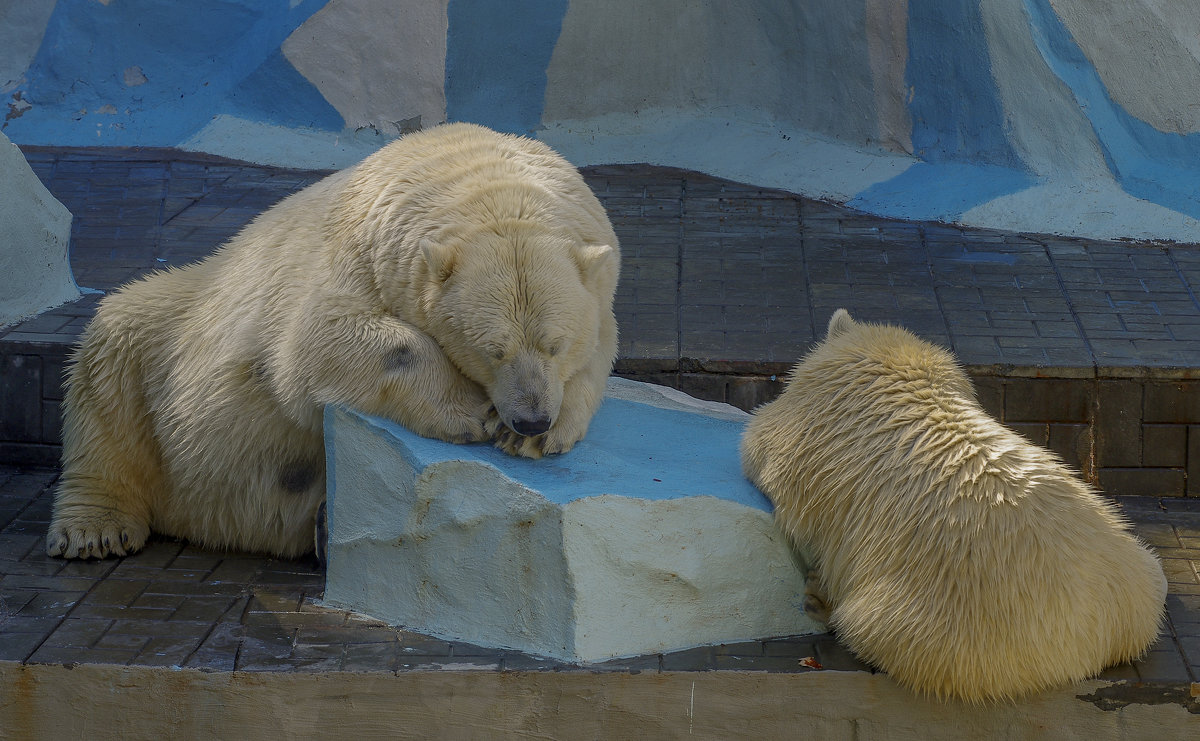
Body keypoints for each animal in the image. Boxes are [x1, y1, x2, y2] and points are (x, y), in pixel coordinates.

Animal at [46, 122, 619, 558]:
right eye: (492, 351)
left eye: (555, 345)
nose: (531, 417)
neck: (475, 176)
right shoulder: (352, 261)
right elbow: (317, 341)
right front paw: (474, 415)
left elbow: (601, 352)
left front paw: (540, 435)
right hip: (175, 324)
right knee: (112, 357)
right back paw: (94, 529)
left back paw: (322, 528)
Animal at [734, 309, 1166, 700]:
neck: (900, 373)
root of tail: (1097, 635)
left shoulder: (812, 424)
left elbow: (761, 446)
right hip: (1130, 557)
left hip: (945, 620)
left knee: (873, 628)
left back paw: (820, 600)